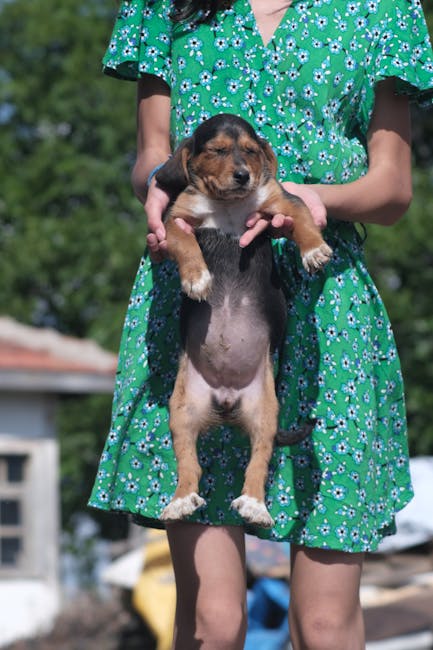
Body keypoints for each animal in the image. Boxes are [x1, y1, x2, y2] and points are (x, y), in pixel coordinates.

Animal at [155, 112, 330, 528]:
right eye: (218, 151)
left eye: (250, 152)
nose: (242, 176)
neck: (228, 204)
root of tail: (226, 400)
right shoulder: (175, 219)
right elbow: (183, 243)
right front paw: (196, 278)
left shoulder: (280, 201)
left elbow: (302, 217)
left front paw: (314, 250)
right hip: (181, 411)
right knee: (190, 465)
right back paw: (181, 501)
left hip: (266, 412)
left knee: (258, 463)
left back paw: (254, 505)